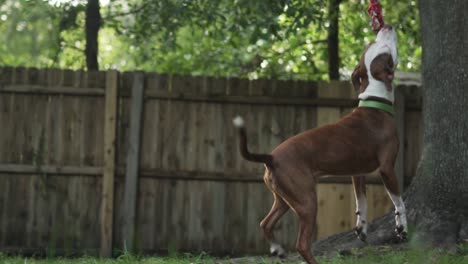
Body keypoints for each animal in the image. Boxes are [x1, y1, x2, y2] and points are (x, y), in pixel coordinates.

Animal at [233, 23, 406, 262]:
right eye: (386, 51)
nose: (386, 26)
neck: (375, 101)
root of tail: (271, 157)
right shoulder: (387, 169)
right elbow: (399, 201)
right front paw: (401, 227)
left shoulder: (357, 173)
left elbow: (361, 201)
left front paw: (361, 227)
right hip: (307, 202)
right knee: (302, 244)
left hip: (284, 199)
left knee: (265, 223)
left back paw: (277, 249)